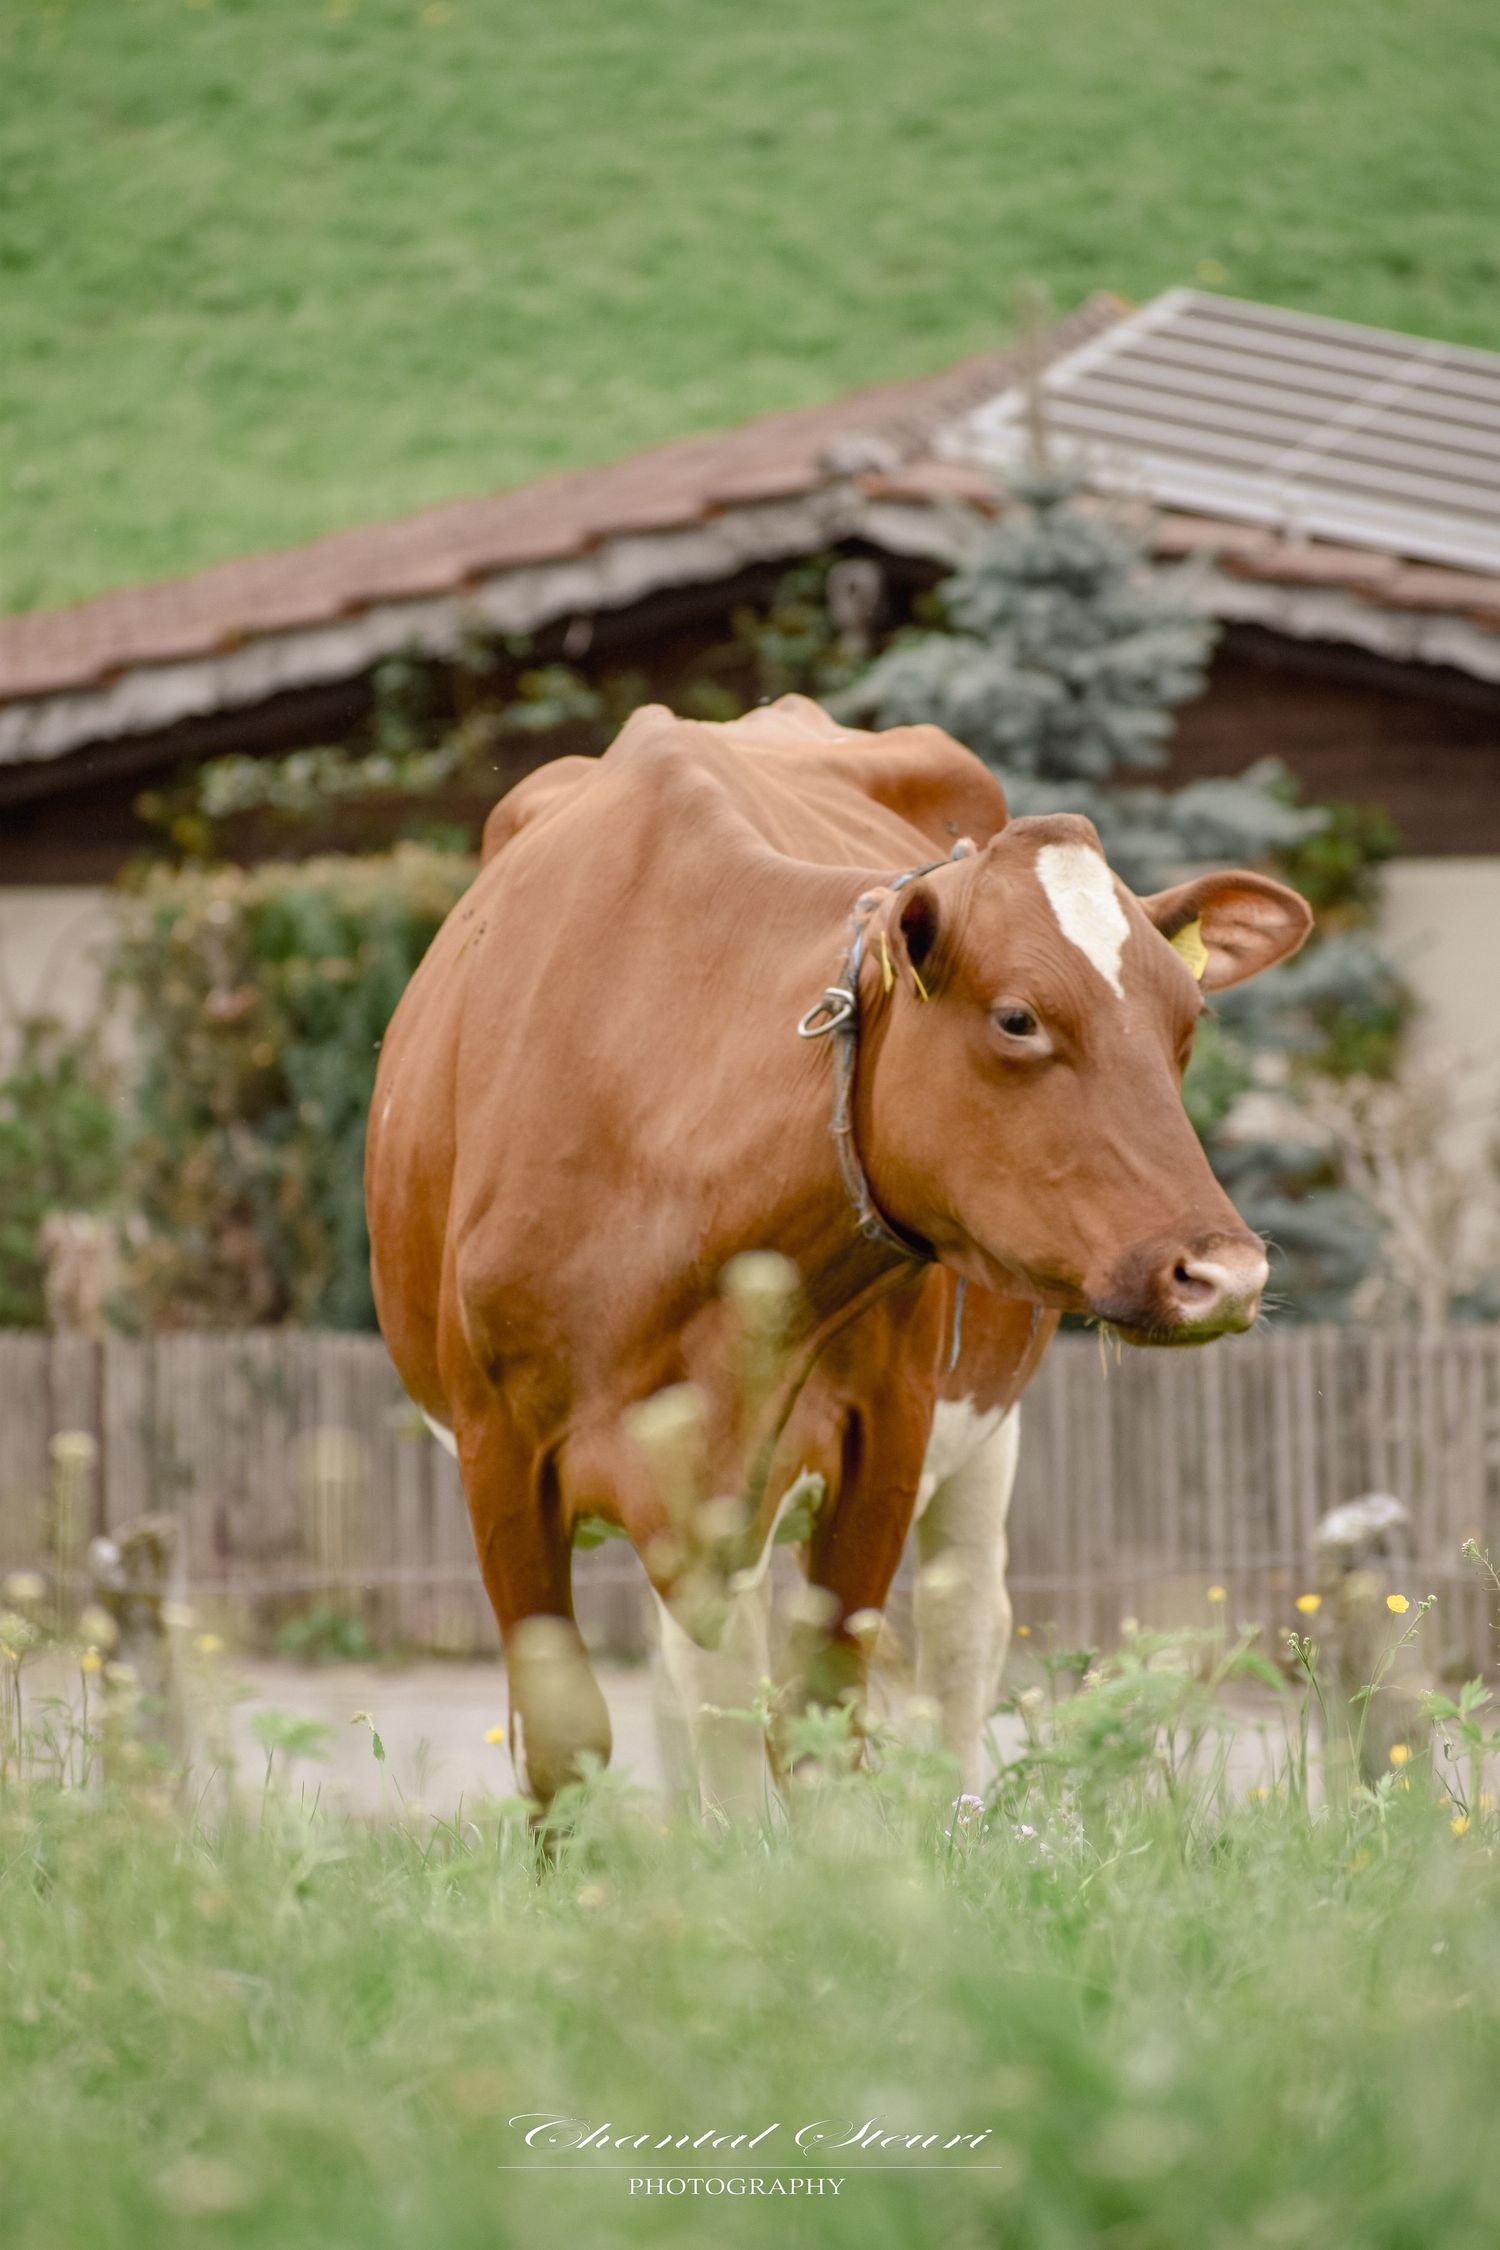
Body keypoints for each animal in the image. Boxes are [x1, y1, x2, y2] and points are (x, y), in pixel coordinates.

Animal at [366, 693, 1310, 1810]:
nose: (1225, 1275)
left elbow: (822, 1719)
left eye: (1187, 1021)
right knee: (705, 1690)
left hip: (977, 1434)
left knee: (954, 1640)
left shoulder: (886, 1432)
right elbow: (567, 1746)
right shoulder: (498, 1451)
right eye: (1018, 1018)